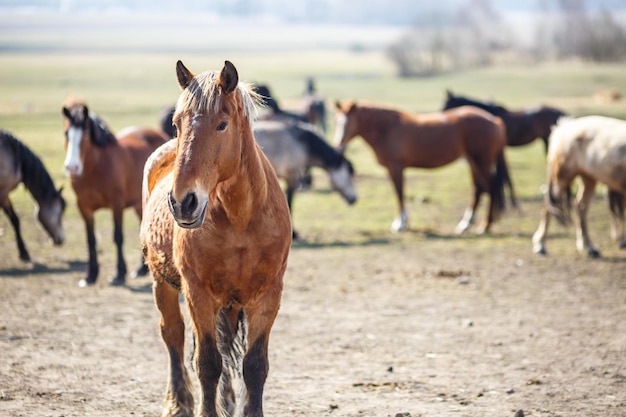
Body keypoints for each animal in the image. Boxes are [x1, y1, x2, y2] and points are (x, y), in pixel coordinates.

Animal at [0, 128, 66, 262]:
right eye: (60, 212)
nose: (61, 239)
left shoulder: (5, 194)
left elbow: (15, 220)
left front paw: (23, 252)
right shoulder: (2, 193)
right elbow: (14, 220)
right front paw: (24, 252)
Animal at [61, 98, 168, 286]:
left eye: (86, 134)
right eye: (67, 133)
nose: (72, 168)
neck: (95, 169)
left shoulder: (116, 204)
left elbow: (118, 236)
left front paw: (119, 274)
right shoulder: (84, 207)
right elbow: (91, 240)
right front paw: (90, 275)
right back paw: (141, 270)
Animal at [140, 61, 292, 416]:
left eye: (222, 125)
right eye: (177, 123)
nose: (183, 201)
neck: (240, 220)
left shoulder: (268, 296)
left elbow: (254, 366)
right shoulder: (198, 294)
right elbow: (208, 363)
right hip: (162, 283)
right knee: (173, 335)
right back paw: (179, 402)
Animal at [332, 99, 512, 232]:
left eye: (348, 122)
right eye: (337, 121)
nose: (338, 142)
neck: (388, 129)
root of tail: (494, 120)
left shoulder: (395, 168)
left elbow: (399, 193)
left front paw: (400, 224)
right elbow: (399, 193)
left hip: (481, 161)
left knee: (491, 187)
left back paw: (485, 225)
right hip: (473, 161)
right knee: (478, 189)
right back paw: (465, 224)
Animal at [528, 114, 624, 256]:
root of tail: (562, 127)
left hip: (588, 178)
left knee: (581, 207)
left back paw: (588, 246)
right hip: (562, 178)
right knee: (549, 207)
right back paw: (540, 245)